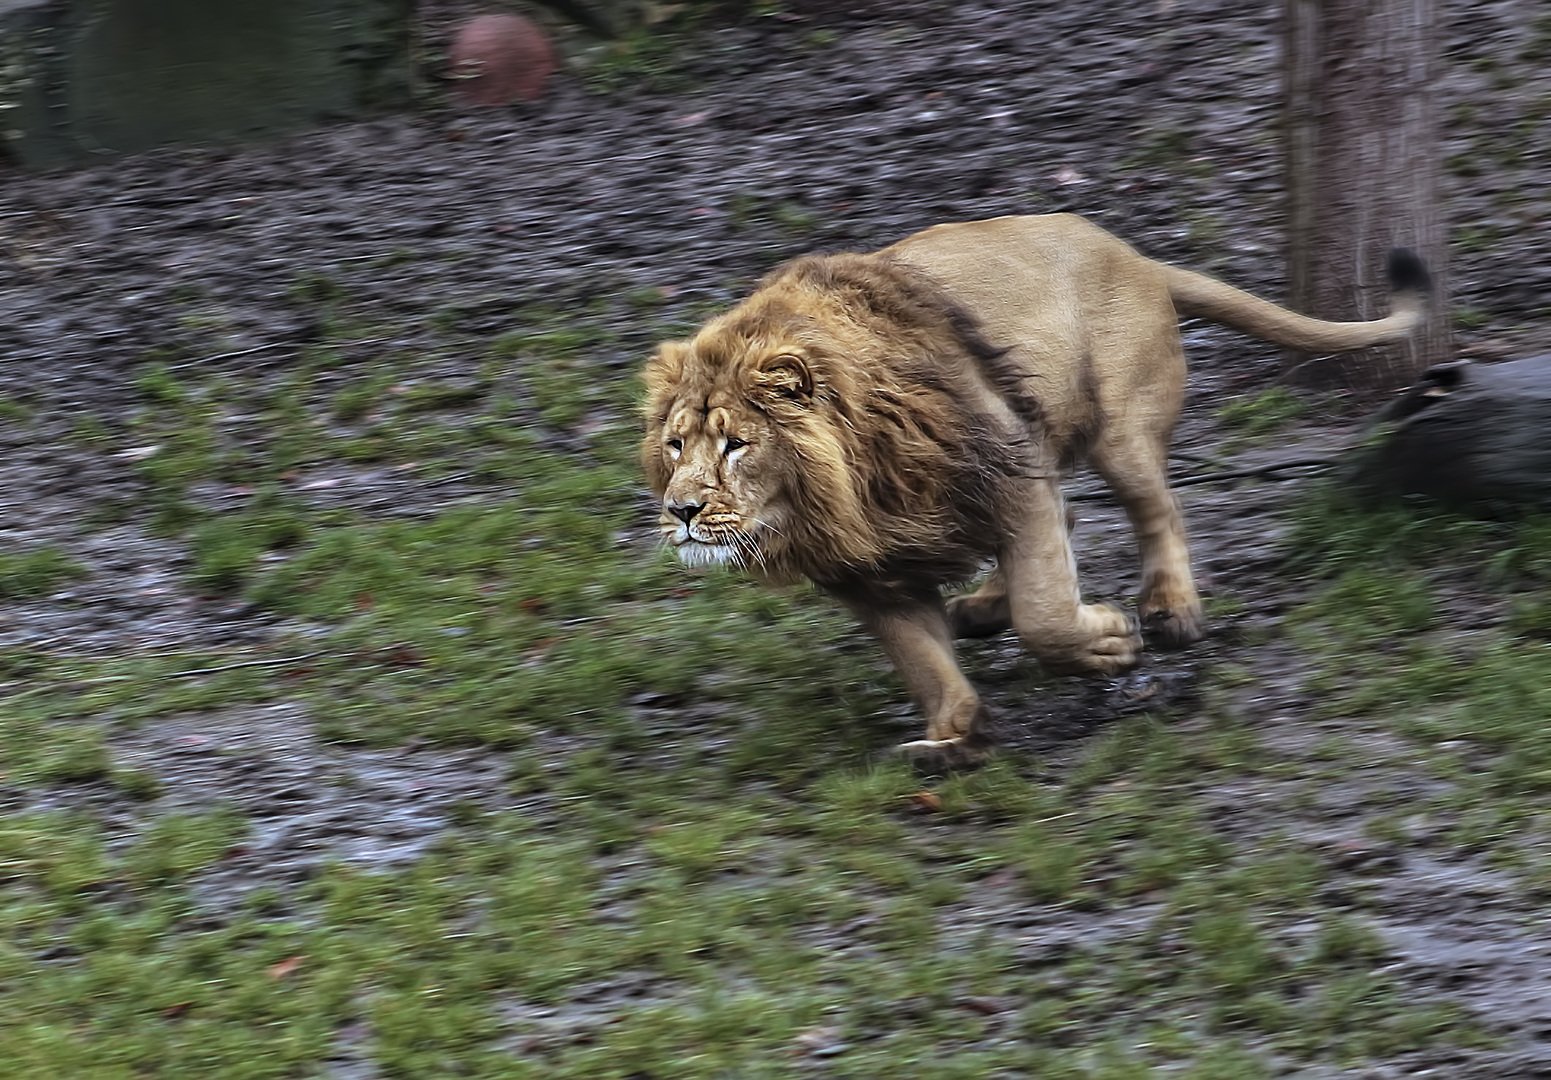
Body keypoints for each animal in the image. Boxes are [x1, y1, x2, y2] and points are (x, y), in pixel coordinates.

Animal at [639, 212, 1426, 760]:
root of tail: (1128, 251)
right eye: (675, 445)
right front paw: (953, 739)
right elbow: (922, 659)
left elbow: (1045, 613)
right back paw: (981, 611)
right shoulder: (866, 569)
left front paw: (1108, 642)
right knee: (1069, 523)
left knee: (1158, 510)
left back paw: (1168, 609)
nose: (682, 510)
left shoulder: (1006, 478)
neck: (844, 495)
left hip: (1112, 431)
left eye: (737, 444)